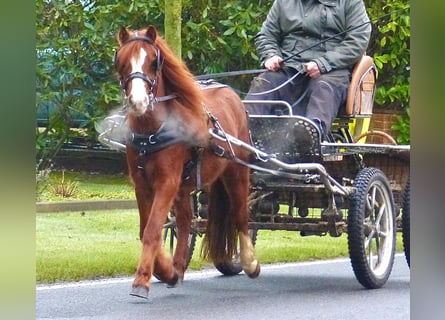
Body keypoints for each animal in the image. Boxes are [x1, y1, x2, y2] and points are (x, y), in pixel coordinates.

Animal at [114, 25, 260, 298]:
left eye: (154, 61)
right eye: (122, 61)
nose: (138, 102)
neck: (152, 131)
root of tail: (232, 94)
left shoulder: (167, 182)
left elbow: (152, 230)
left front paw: (142, 280)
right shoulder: (142, 184)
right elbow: (148, 228)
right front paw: (164, 269)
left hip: (236, 171)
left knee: (240, 214)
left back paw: (250, 262)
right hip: (185, 187)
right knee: (184, 221)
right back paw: (178, 269)